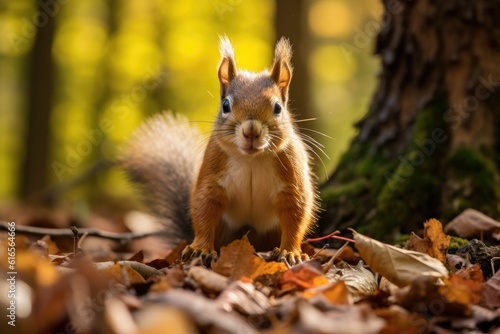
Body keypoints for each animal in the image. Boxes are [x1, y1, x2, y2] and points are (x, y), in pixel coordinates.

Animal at [121, 36, 316, 264]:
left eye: (278, 108)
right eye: (225, 105)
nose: (251, 131)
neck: (251, 159)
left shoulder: (291, 174)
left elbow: (296, 212)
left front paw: (290, 251)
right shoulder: (213, 170)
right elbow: (204, 207)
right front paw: (200, 248)